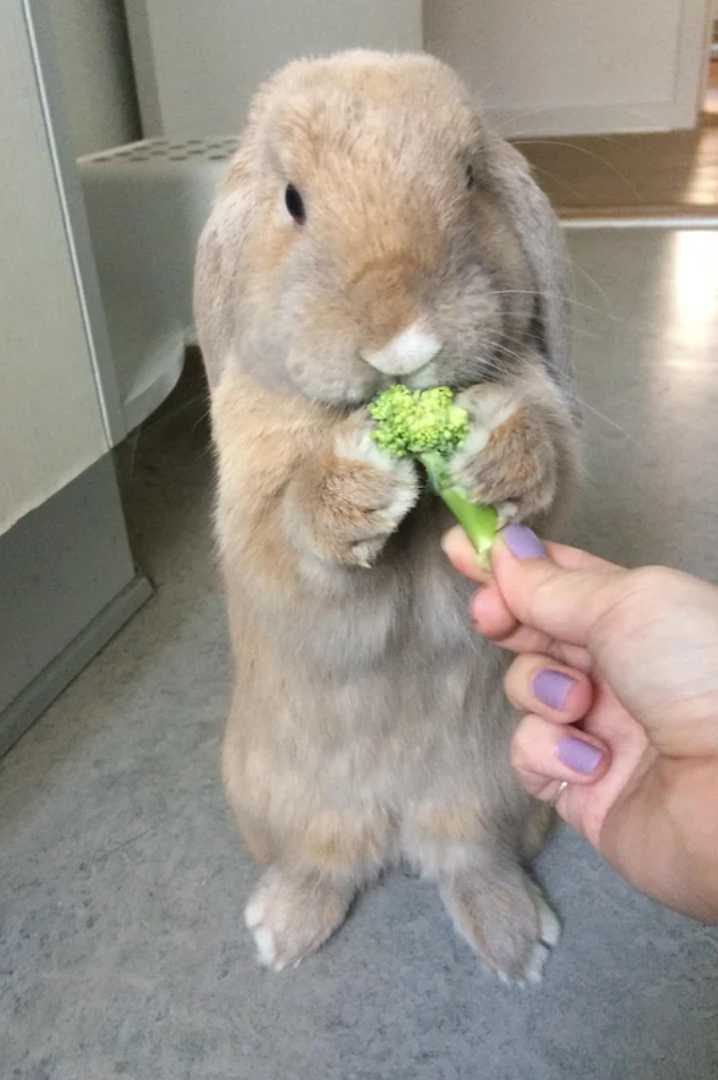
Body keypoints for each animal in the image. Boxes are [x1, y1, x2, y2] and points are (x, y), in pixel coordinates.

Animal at [193, 48, 578, 980]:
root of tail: (399, 825)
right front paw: (361, 484)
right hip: (284, 799)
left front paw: (492, 456)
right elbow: (292, 544)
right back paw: (282, 933)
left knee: (470, 855)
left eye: (470, 178)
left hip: (497, 794)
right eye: (293, 200)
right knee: (325, 861)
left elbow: (545, 480)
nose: (403, 343)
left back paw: (516, 942)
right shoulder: (255, 518)